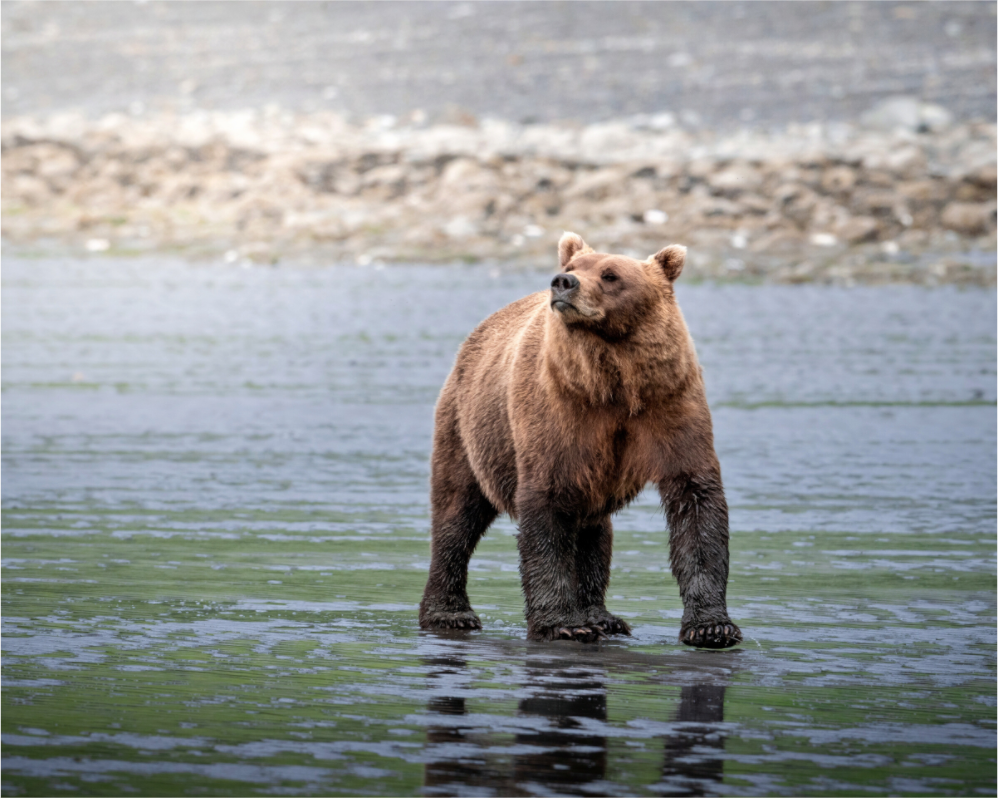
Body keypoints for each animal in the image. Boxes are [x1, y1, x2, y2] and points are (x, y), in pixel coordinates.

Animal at [418, 232, 741, 648]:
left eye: (611, 274)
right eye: (573, 268)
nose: (563, 282)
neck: (613, 379)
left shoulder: (669, 402)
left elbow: (696, 498)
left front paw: (712, 626)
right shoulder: (560, 412)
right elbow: (547, 505)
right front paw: (561, 623)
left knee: (594, 530)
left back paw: (601, 616)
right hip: (470, 428)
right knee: (457, 513)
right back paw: (449, 612)